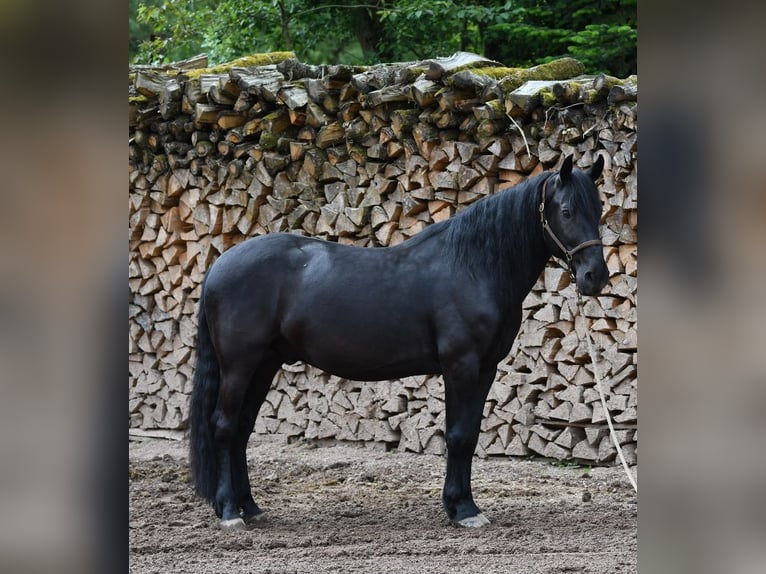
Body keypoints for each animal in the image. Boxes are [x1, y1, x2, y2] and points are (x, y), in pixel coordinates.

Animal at [189, 154, 608, 532]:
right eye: (567, 211)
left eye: (600, 209)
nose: (596, 277)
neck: (474, 266)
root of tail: (219, 265)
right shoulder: (461, 365)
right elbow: (458, 435)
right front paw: (464, 511)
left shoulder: (485, 368)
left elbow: (470, 434)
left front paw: (461, 506)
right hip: (239, 365)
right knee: (224, 427)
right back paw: (230, 513)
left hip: (264, 364)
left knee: (242, 430)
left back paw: (250, 507)